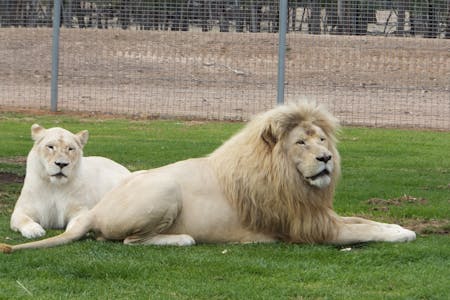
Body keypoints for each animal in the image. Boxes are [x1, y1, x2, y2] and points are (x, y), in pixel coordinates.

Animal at [0, 103, 414, 253]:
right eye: (301, 142)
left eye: (323, 140)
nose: (326, 158)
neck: (291, 179)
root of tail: (95, 210)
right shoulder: (307, 228)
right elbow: (364, 230)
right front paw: (401, 233)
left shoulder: (317, 214)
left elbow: (362, 220)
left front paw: (395, 224)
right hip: (165, 188)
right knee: (131, 241)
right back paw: (183, 238)